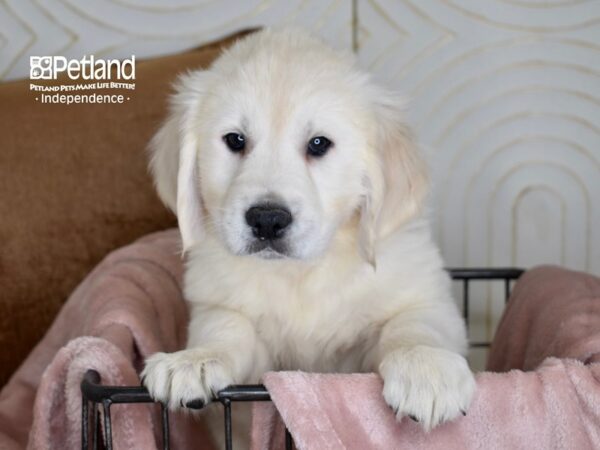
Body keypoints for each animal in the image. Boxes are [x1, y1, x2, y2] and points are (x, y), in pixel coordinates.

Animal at [141, 27, 474, 440]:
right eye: (235, 140)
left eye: (319, 144)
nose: (267, 220)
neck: (300, 274)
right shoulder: (219, 307)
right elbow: (227, 327)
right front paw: (193, 360)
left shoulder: (424, 296)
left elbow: (415, 324)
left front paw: (426, 369)